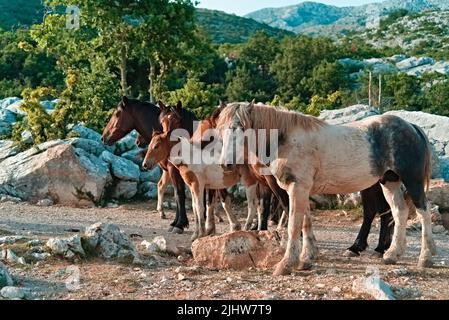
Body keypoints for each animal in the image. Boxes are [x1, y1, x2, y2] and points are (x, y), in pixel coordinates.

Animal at [217, 102, 434, 276]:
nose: (226, 164)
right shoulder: (301, 189)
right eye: (220, 130)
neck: (285, 140)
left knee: (423, 213)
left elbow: (294, 225)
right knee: (399, 212)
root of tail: (412, 127)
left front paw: (286, 264)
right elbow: (305, 222)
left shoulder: (297, 188)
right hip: (389, 181)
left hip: (412, 181)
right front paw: (306, 258)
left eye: (240, 128)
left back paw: (425, 258)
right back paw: (392, 254)